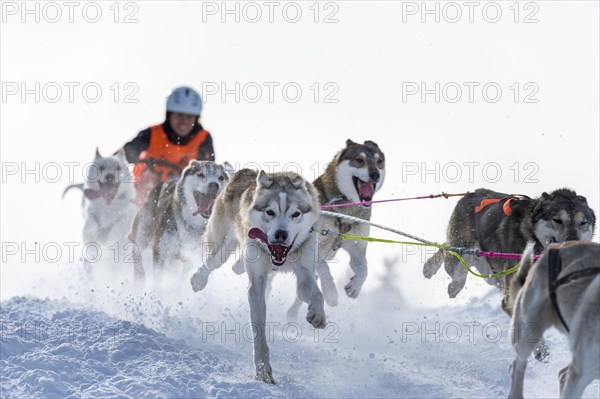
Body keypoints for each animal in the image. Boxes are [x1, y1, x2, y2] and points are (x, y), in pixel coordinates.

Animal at [127, 161, 229, 290]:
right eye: (200, 174)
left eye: (221, 177)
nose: (214, 185)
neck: (191, 224)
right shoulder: (160, 251)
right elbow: (158, 280)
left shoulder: (194, 256)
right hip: (144, 231)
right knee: (137, 250)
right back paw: (139, 276)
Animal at [190, 169, 326, 384]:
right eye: (270, 212)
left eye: (295, 214)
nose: (281, 234)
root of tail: (242, 172)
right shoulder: (256, 285)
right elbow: (259, 333)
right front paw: (262, 372)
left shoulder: (305, 273)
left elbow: (315, 292)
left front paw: (317, 314)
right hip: (224, 244)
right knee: (212, 262)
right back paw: (198, 280)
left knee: (235, 267)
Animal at [422, 188, 596, 304]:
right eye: (557, 220)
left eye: (583, 222)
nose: (573, 242)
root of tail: (471, 193)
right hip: (460, 256)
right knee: (450, 257)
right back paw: (434, 270)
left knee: (446, 247)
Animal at [506, 241, 600, 399]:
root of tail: (555, 245)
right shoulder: (580, 375)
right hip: (528, 334)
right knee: (518, 364)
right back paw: (515, 394)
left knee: (562, 374)